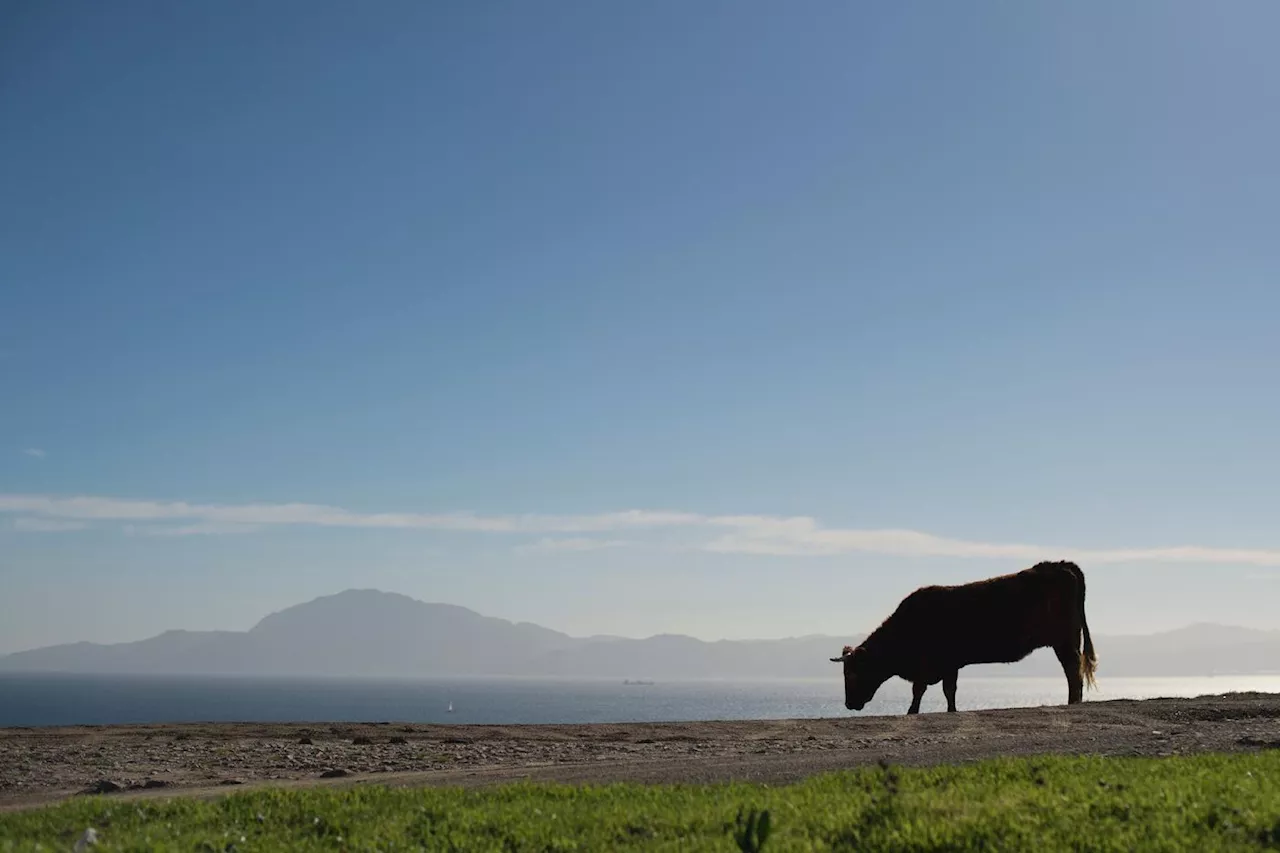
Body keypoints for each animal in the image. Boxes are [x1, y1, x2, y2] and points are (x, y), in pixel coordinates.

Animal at [834, 558, 1095, 712]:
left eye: (853, 673)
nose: (848, 704)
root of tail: (1060, 564)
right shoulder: (949, 664)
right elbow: (949, 691)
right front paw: (951, 710)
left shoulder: (928, 664)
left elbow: (920, 690)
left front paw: (911, 712)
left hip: (1065, 641)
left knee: (1073, 670)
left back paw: (1073, 702)